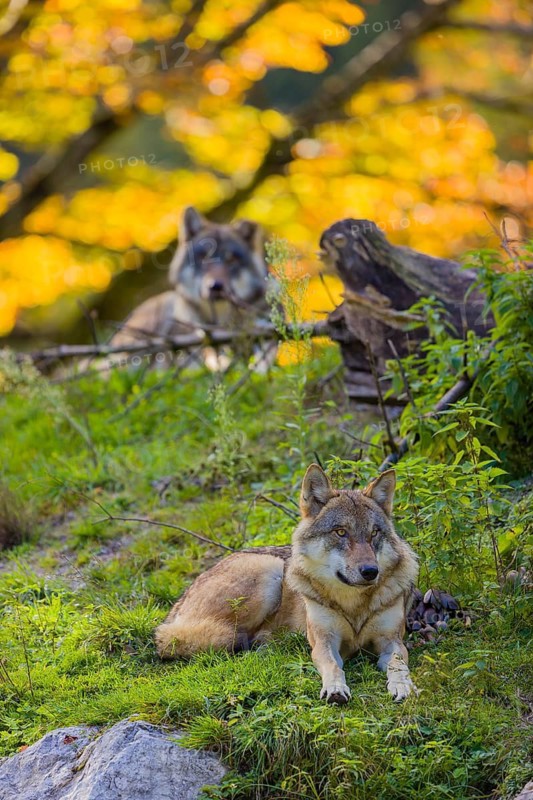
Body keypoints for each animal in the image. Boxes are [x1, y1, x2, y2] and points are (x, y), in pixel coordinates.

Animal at [155, 465, 419, 703]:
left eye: (374, 533)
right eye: (341, 532)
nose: (370, 571)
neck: (353, 605)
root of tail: (177, 605)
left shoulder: (392, 641)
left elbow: (398, 664)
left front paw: (403, 686)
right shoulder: (324, 641)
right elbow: (333, 665)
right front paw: (335, 689)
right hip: (269, 572)